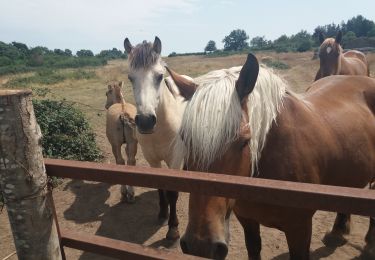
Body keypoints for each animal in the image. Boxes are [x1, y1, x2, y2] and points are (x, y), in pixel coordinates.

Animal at [170, 53, 375, 258]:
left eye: (244, 141)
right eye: (184, 138)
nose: (200, 244)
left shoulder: (299, 229)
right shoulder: (248, 220)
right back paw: (337, 233)